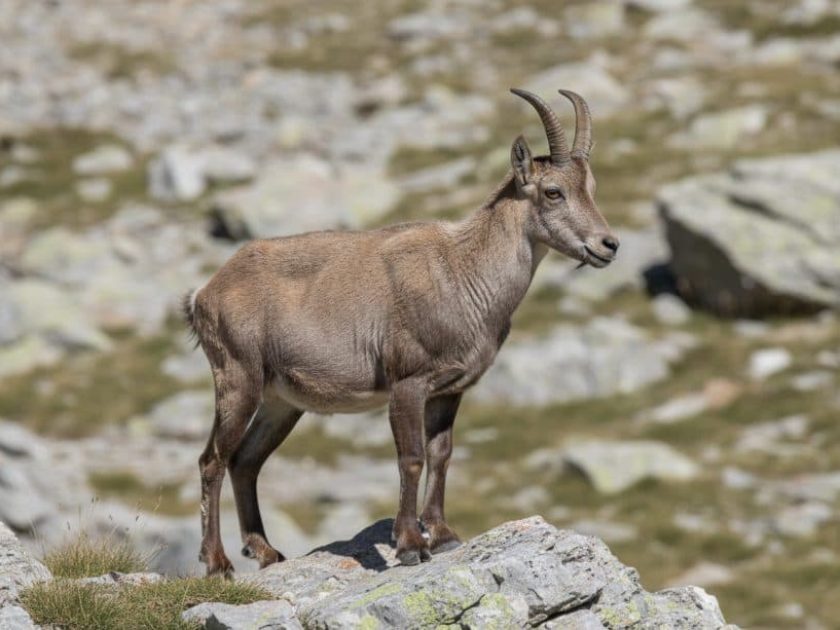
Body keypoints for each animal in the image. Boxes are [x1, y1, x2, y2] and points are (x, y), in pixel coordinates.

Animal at [184, 88, 619, 575]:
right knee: (212, 460)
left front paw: (443, 535)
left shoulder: (450, 389)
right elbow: (411, 458)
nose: (608, 245)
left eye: (591, 189)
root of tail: (205, 292)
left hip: (281, 400)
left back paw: (265, 551)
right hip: (238, 377)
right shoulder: (407, 383)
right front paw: (410, 544)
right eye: (553, 191)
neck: (464, 272)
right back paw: (217, 562)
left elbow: (441, 455)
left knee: (245, 460)